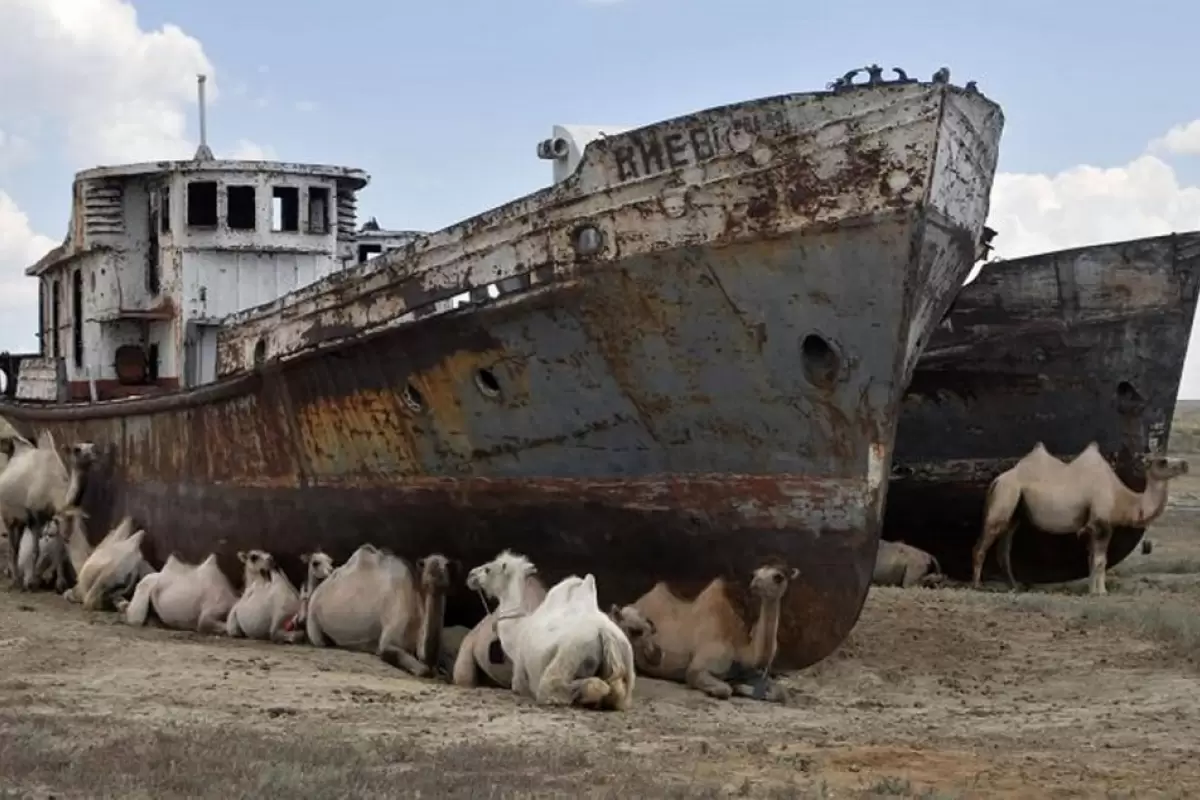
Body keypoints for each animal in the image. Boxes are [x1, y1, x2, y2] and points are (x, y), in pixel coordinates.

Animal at [0, 431, 94, 587]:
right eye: (77, 449)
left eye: (92, 447)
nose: (92, 455)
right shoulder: (35, 517)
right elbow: (35, 550)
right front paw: (31, 583)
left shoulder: (55, 516)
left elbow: (60, 547)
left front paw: (60, 584)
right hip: (8, 516)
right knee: (12, 545)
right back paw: (16, 579)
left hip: (21, 520)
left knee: (16, 544)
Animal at [302, 544, 451, 676]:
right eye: (427, 566)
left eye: (445, 566)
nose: (438, 577)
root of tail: (317, 591)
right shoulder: (388, 639)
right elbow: (423, 669)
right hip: (313, 618)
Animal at [465, 551, 638, 714]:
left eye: (488, 569)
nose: (471, 574)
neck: (518, 631)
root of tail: (606, 633)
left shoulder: (519, 674)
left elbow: (519, 687)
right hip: (627, 661)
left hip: (569, 654)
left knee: (554, 688)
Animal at [609, 563, 796, 705]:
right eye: (755, 574)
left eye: (778, 576)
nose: (755, 584)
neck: (740, 647)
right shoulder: (698, 667)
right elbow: (723, 689)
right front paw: (735, 687)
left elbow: (782, 692)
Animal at [974, 443, 1190, 594]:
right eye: (1162, 461)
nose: (1185, 464)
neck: (1120, 497)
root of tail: (997, 480)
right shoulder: (1101, 524)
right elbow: (1101, 560)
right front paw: (1101, 592)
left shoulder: (1094, 527)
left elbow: (1092, 559)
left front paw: (1093, 590)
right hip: (1006, 496)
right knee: (983, 544)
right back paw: (977, 586)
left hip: (1015, 512)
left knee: (1004, 548)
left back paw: (1014, 587)